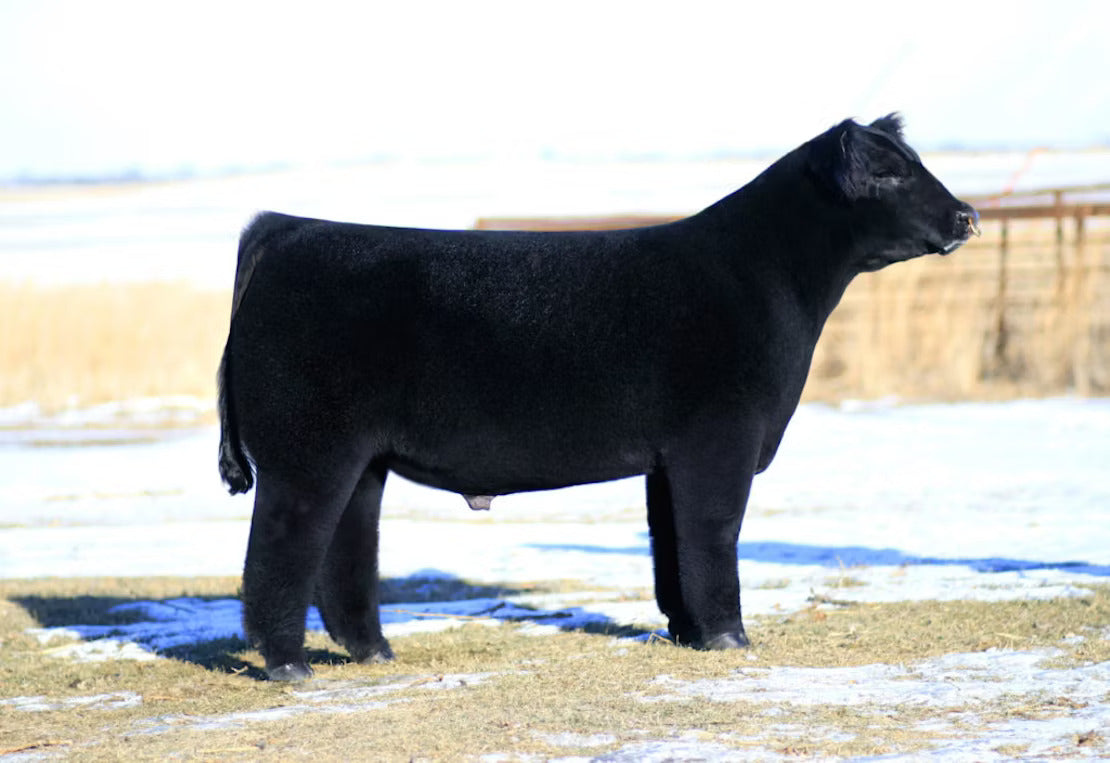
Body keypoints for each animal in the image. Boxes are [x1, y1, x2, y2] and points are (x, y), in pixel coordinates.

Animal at [218, 114, 979, 681]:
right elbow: (714, 534)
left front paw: (689, 633)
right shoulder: (721, 440)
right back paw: (287, 664)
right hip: (308, 455)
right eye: (889, 171)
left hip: (362, 460)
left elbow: (671, 546)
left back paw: (375, 652)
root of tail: (289, 228)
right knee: (279, 555)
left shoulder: (668, 458)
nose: (966, 215)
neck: (766, 278)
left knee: (345, 554)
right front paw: (731, 638)